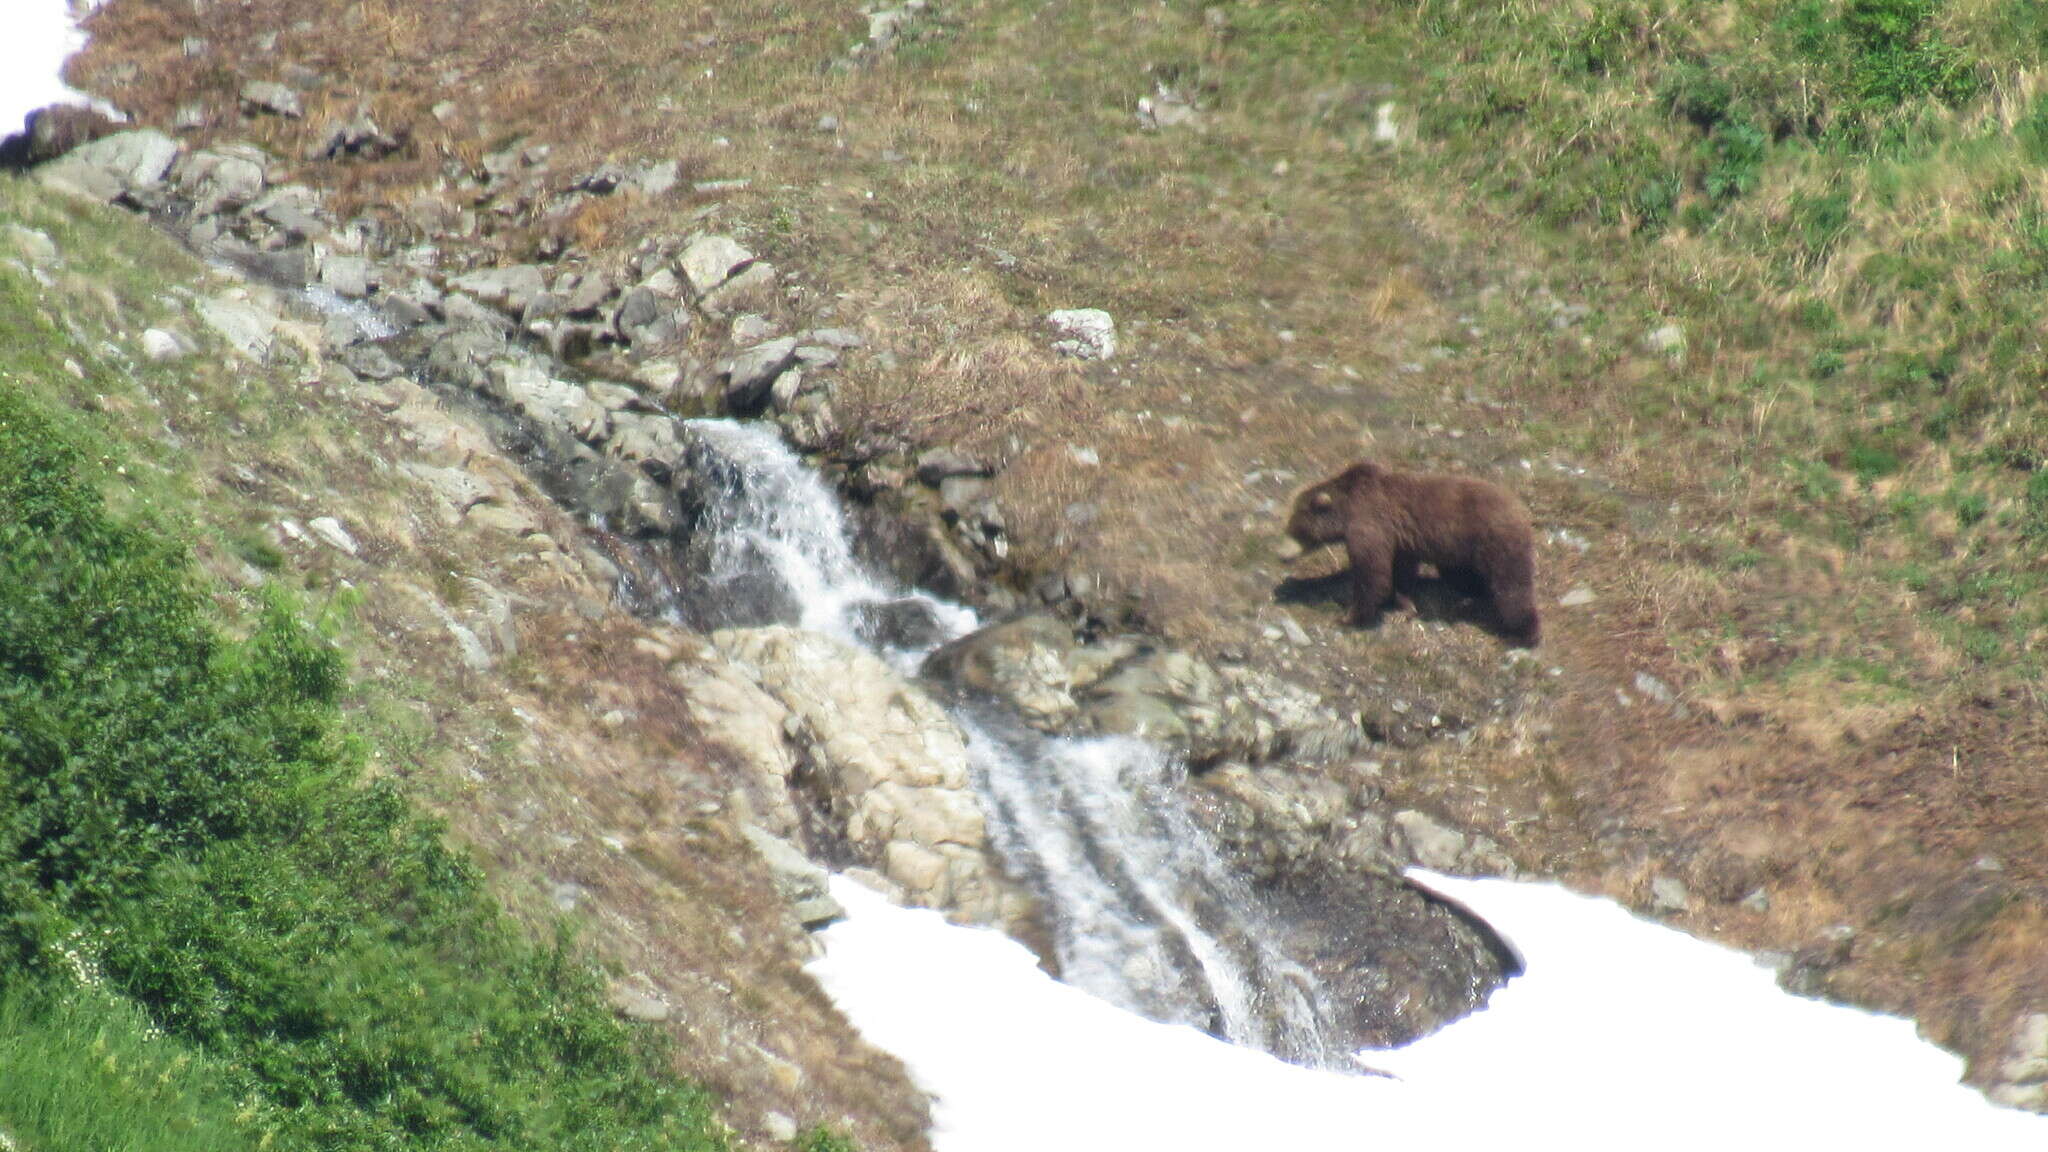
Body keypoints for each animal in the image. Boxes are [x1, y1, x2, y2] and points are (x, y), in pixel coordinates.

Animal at [1277, 461, 1540, 651]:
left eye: (1297, 529)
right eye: (1288, 525)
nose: (1281, 555)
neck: (1346, 509)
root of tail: (1522, 509)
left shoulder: (1370, 522)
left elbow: (1373, 574)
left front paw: (1348, 617)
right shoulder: (1400, 540)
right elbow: (1401, 570)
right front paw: (1404, 605)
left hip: (1495, 542)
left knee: (1512, 588)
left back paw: (1522, 636)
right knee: (1466, 579)